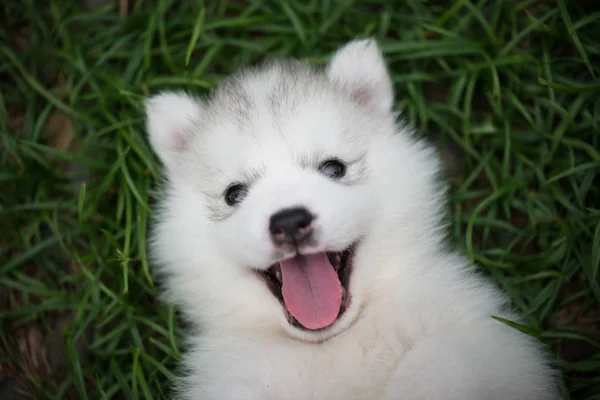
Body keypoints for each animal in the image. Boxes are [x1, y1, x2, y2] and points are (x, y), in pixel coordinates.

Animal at [143, 38, 560, 400]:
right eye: (234, 194)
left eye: (333, 167)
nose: (290, 221)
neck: (333, 340)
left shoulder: (486, 335)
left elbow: (442, 358)